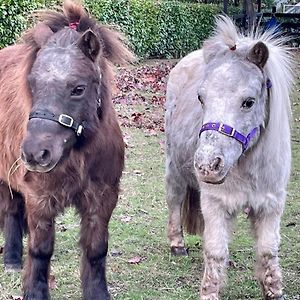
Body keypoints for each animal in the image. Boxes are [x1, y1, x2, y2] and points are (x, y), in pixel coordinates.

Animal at [0, 1, 134, 298]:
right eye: (32, 84)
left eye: (78, 89)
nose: (35, 154)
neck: (77, 154)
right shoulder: (39, 199)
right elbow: (40, 251)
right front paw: (34, 292)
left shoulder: (102, 198)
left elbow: (96, 250)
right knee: (11, 210)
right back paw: (12, 259)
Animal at [164, 16, 292, 300]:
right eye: (201, 98)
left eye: (249, 101)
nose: (206, 165)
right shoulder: (216, 203)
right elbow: (215, 251)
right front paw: (209, 292)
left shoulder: (271, 205)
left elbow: (268, 251)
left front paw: (273, 290)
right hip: (173, 168)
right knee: (174, 200)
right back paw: (177, 245)